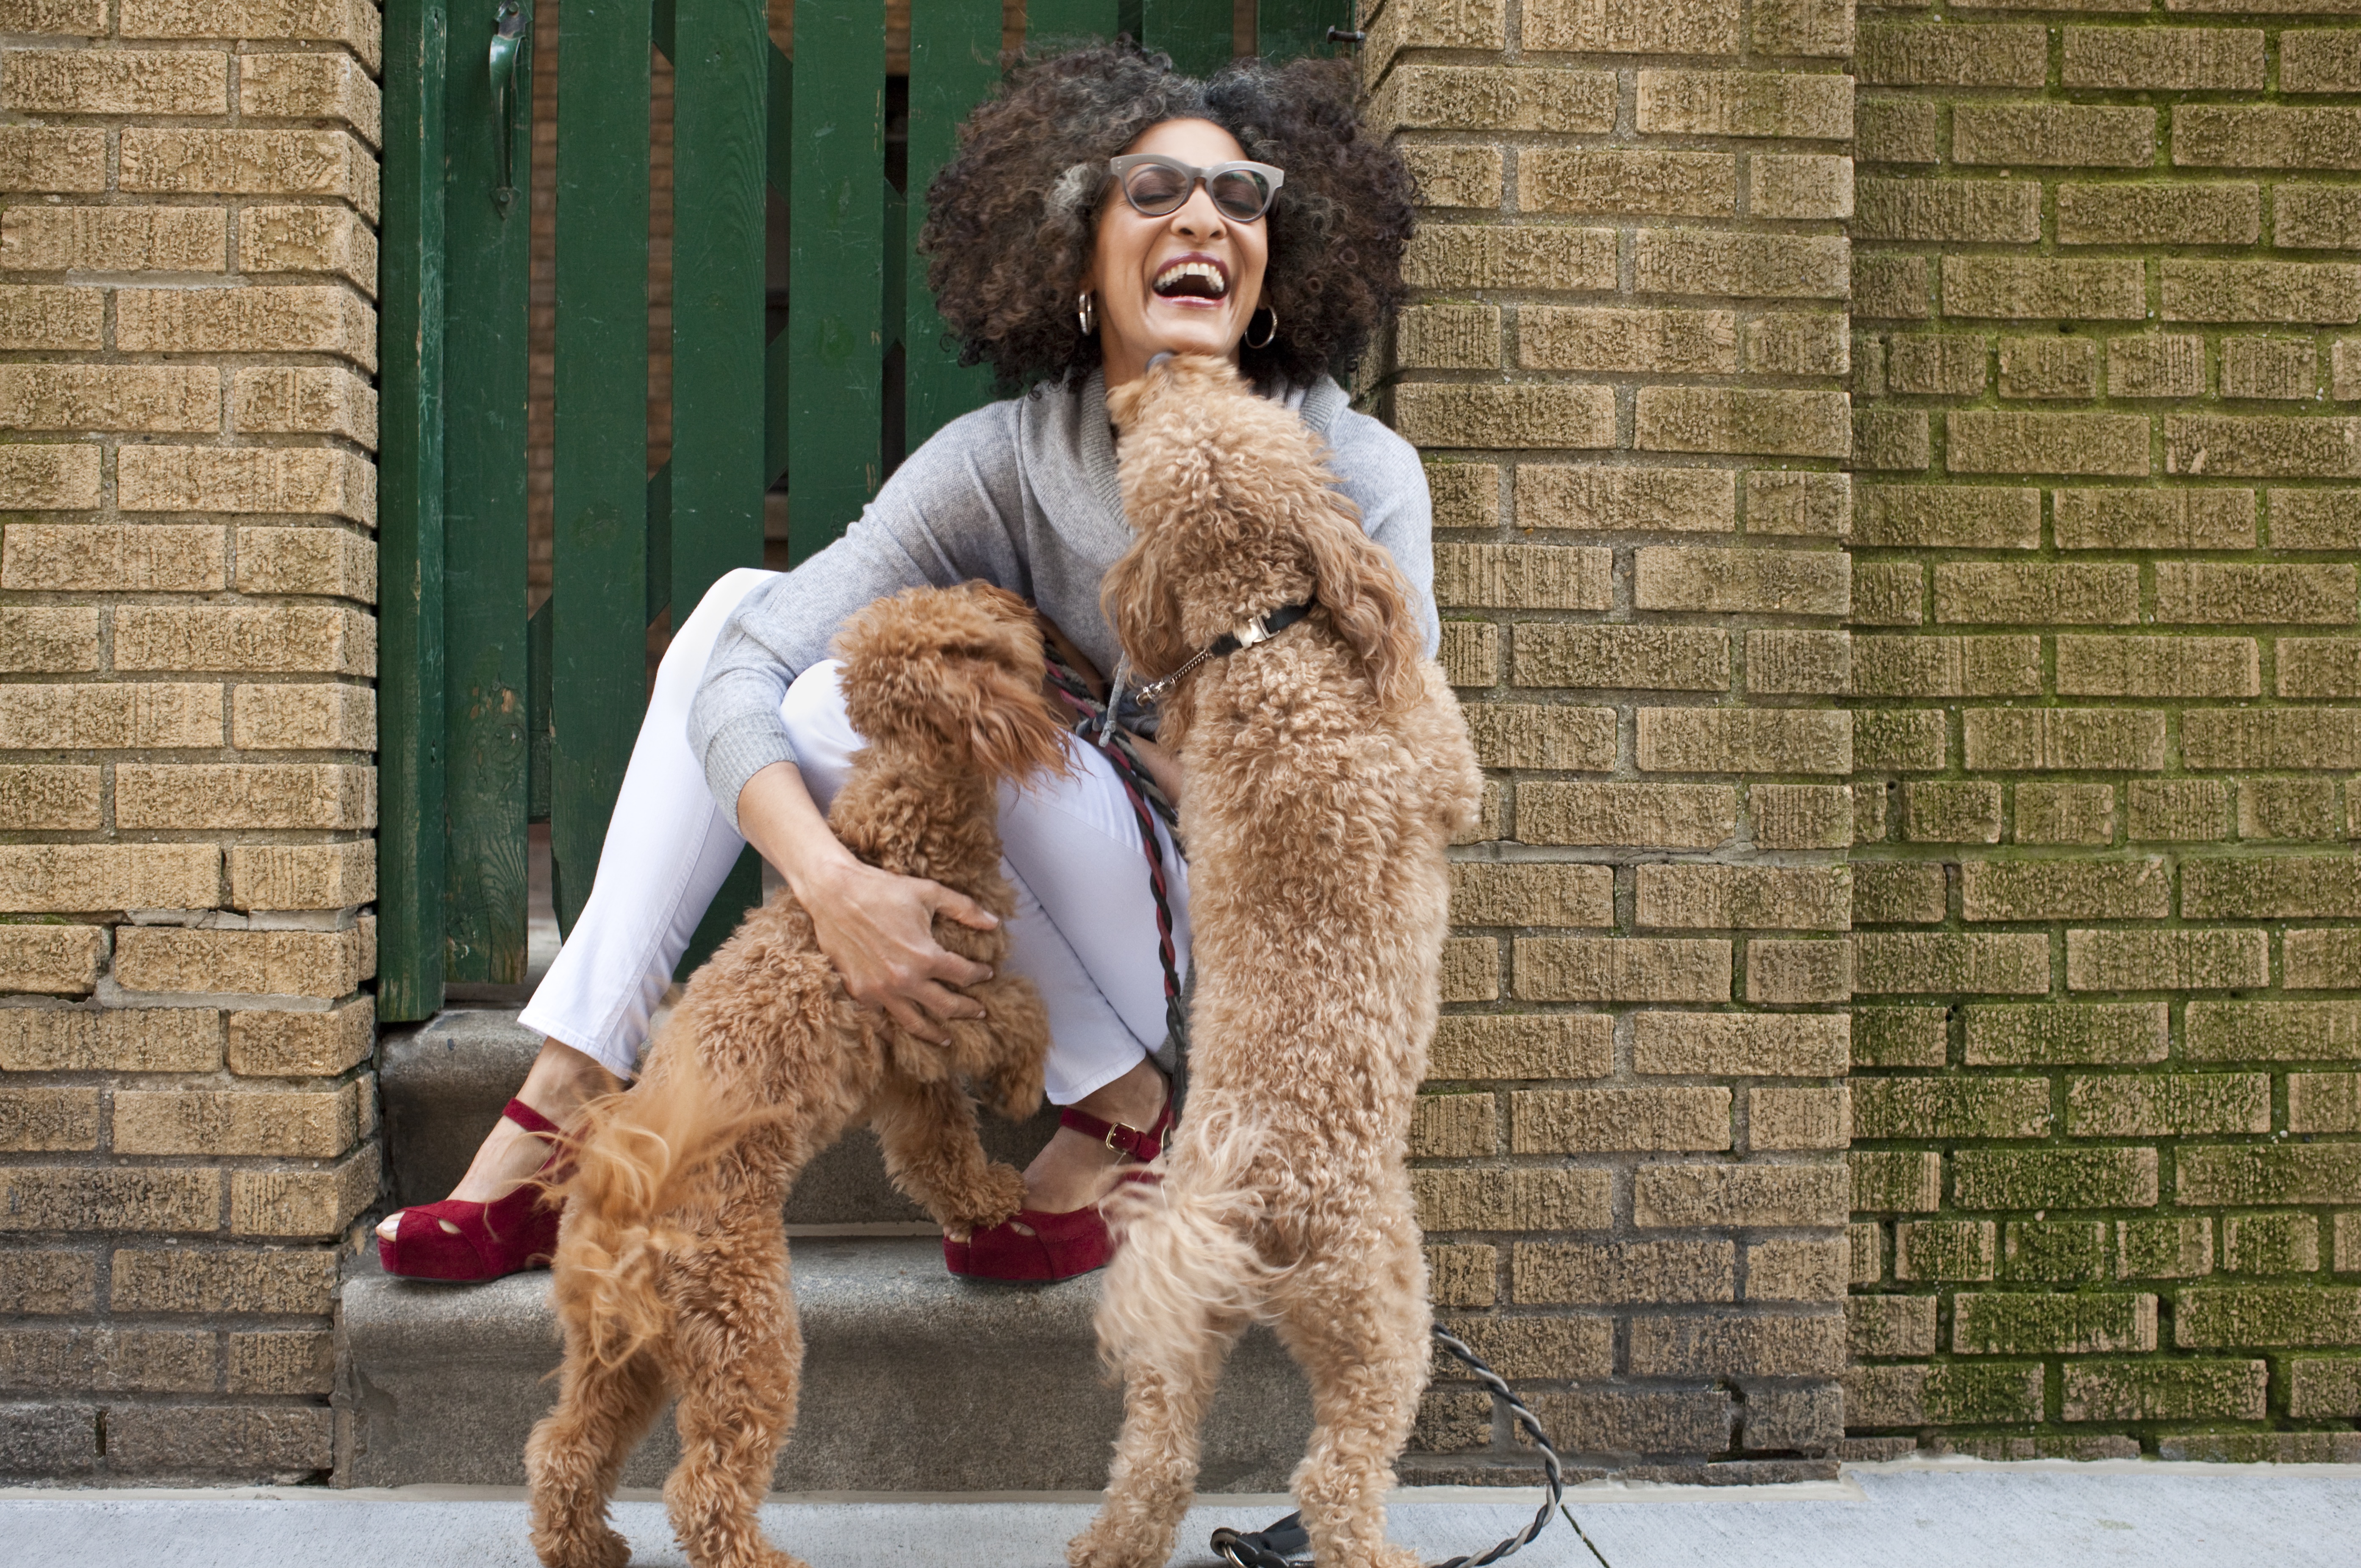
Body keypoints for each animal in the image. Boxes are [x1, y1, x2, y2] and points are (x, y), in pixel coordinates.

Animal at [526, 586, 1072, 1568]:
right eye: (974, 638)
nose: (1015, 597)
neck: (902, 812)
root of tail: (620, 1201)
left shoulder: (903, 1076)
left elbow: (936, 1149)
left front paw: (980, 1199)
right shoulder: (935, 1000)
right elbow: (1019, 1009)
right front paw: (1018, 1091)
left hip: (620, 1351)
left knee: (565, 1446)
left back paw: (583, 1544)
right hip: (745, 1335)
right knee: (703, 1480)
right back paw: (755, 1555)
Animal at [1067, 354, 1473, 1568]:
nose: (1162, 359)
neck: (1265, 645)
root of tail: (1244, 1200)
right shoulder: (1442, 755)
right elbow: (1440, 716)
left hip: (1177, 1340)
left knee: (1154, 1460)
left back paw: (1109, 1543)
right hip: (1385, 1321)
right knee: (1336, 1478)